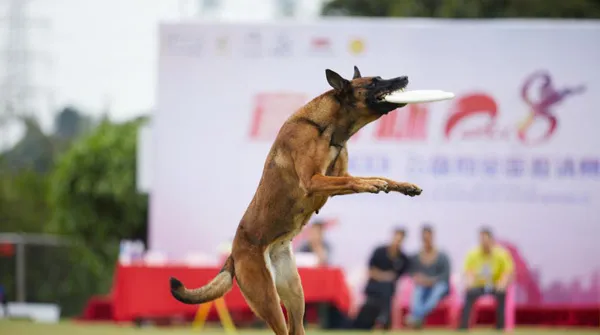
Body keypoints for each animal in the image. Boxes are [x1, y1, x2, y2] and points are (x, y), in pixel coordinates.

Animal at [169, 66, 422, 335]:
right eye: (374, 82)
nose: (404, 78)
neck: (328, 127)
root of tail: (233, 254)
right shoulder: (313, 181)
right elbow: (355, 181)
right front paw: (373, 185)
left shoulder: (335, 178)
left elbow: (376, 176)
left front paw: (404, 186)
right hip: (267, 298)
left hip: (295, 295)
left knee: (296, 328)